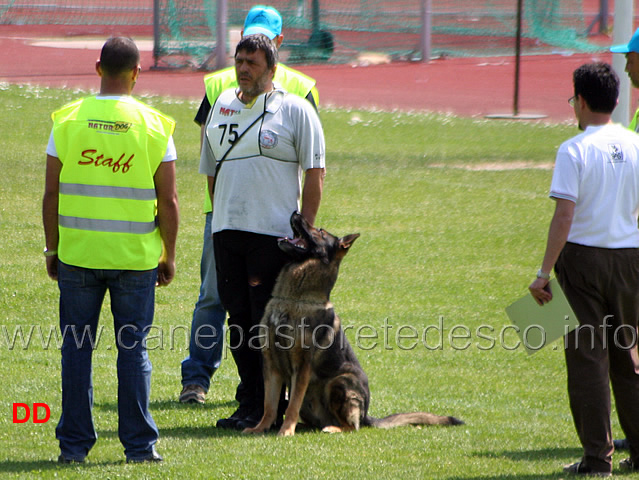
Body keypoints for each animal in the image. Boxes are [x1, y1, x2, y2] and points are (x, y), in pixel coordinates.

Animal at [242, 212, 462, 436]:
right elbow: (269, 404)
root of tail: (366, 416)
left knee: (351, 426)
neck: (294, 299)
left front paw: (286, 431)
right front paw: (261, 427)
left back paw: (332, 428)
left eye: (320, 231)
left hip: (340, 382)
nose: (296, 214)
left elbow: (292, 404)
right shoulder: (271, 364)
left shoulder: (302, 367)